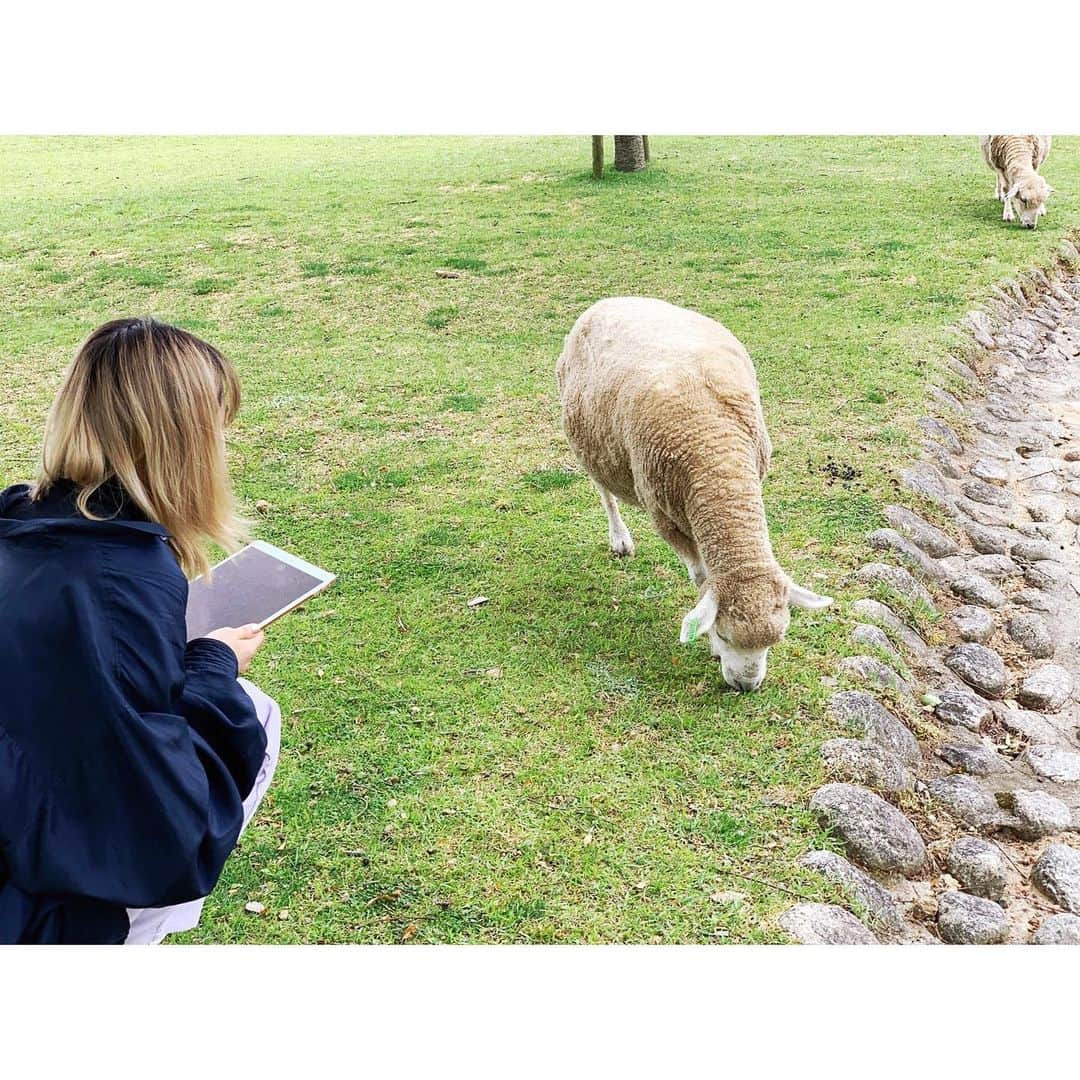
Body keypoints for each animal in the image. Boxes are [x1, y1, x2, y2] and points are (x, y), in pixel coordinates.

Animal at [552, 295, 829, 691]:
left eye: (777, 639)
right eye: (726, 635)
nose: (746, 687)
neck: (719, 462)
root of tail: (611, 299)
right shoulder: (664, 516)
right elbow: (701, 581)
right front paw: (709, 643)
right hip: (589, 443)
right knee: (604, 492)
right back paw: (619, 538)